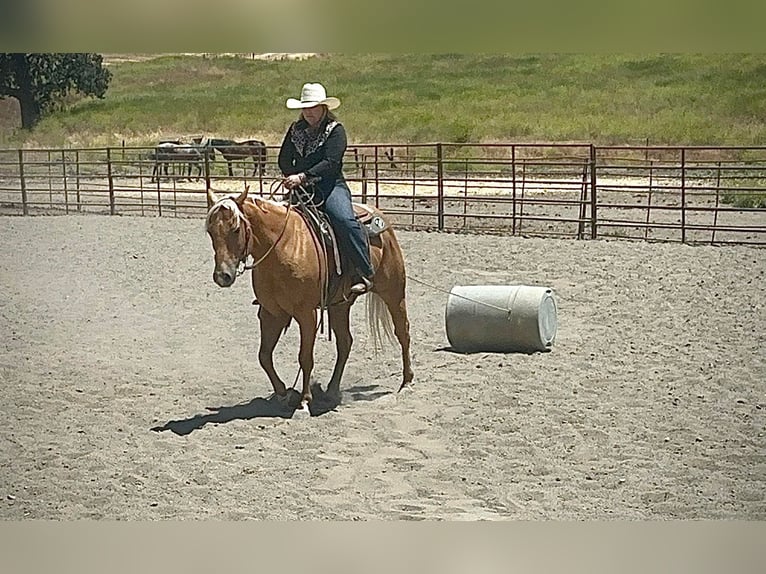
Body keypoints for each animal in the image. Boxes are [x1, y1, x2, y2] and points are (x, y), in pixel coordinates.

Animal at [204, 187, 414, 416]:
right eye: (211, 232)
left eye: (235, 229)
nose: (222, 276)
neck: (282, 245)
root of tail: (379, 216)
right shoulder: (271, 313)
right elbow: (264, 356)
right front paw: (283, 394)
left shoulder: (306, 314)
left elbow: (305, 357)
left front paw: (304, 401)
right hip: (340, 305)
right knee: (345, 342)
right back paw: (332, 391)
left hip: (393, 292)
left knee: (402, 332)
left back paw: (406, 382)